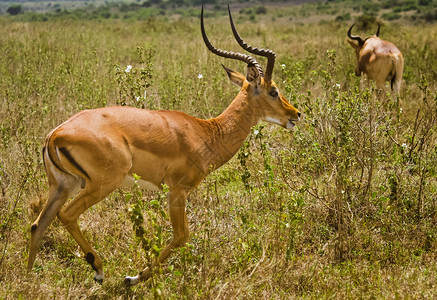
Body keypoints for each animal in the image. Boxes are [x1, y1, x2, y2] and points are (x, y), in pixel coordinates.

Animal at [26, 5, 300, 286]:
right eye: (273, 91)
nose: (296, 114)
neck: (206, 132)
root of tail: (55, 134)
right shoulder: (177, 190)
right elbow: (182, 236)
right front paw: (133, 278)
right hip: (101, 184)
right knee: (67, 215)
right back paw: (99, 271)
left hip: (62, 185)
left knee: (38, 224)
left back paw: (28, 279)